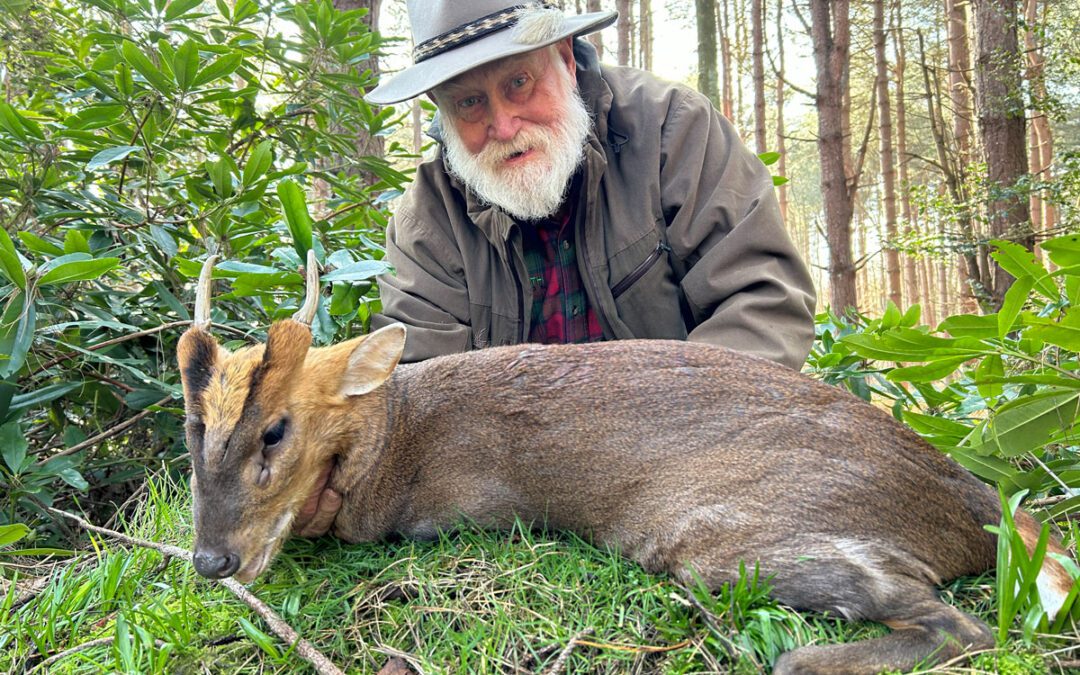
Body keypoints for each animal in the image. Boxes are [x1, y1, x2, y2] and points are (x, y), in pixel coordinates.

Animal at [177, 252, 1075, 674]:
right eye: (194, 427)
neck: (392, 440)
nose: (211, 559)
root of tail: (980, 497)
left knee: (954, 625)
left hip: (731, 532)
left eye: (275, 431)